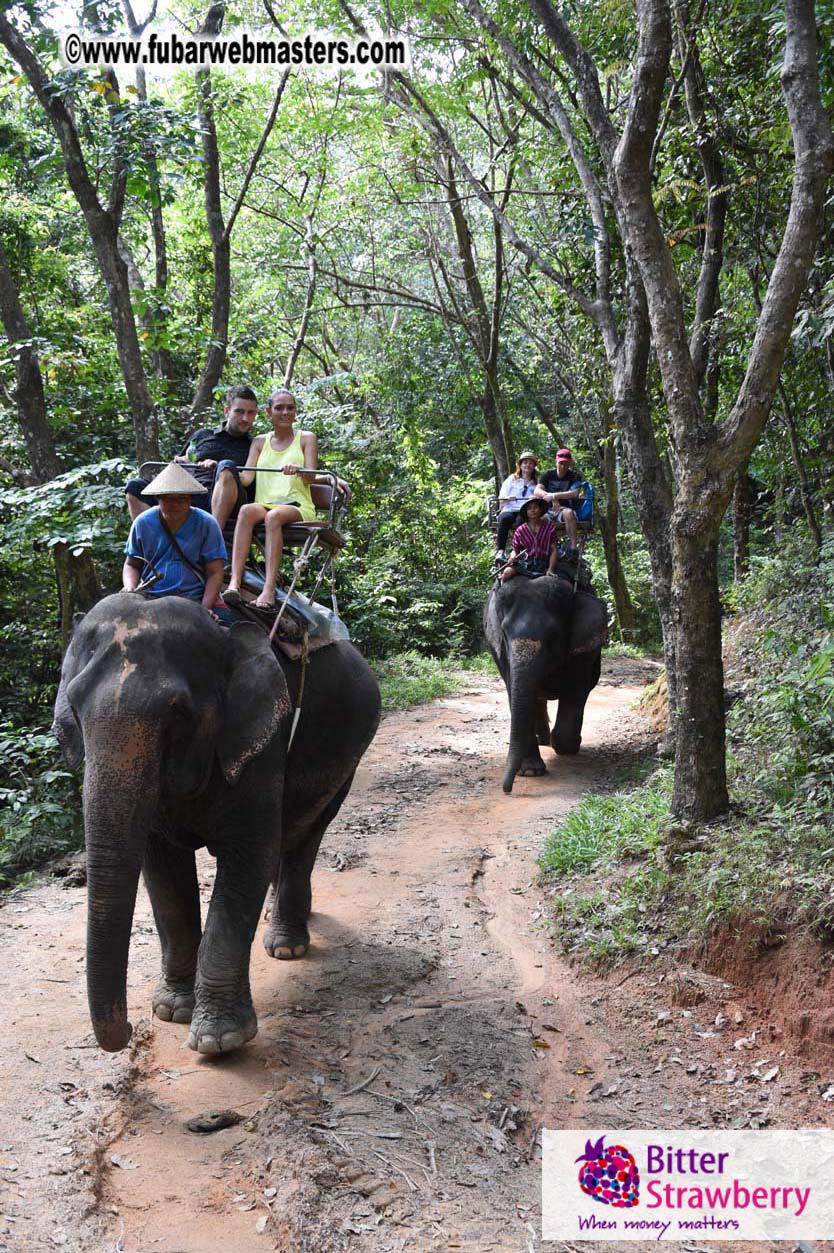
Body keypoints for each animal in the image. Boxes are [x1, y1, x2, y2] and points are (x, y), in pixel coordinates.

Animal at [52, 592, 380, 1055]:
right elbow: (164, 872)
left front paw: (218, 1040)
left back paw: (286, 946)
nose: (129, 1031)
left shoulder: (261, 742)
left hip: (348, 752)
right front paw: (171, 1011)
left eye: (178, 713)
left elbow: (249, 858)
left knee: (306, 833)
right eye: (75, 710)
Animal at [484, 575, 608, 793]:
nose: (507, 789)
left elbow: (576, 689)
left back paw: (549, 739)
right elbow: (514, 691)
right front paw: (530, 771)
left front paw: (568, 744)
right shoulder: (500, 653)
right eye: (505, 634)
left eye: (553, 635)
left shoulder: (582, 651)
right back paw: (542, 738)